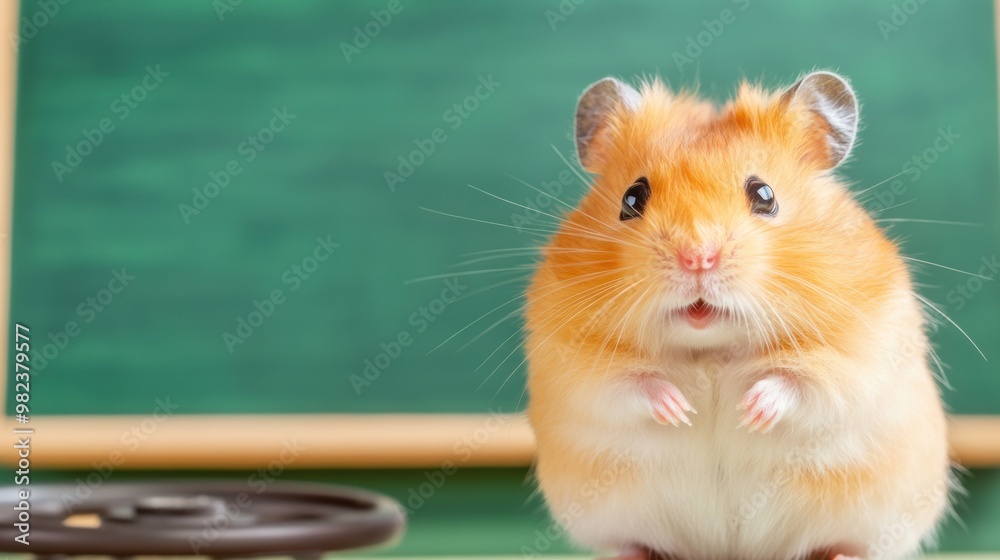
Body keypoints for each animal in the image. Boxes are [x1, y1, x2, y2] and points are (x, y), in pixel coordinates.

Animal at [524, 72, 952, 560]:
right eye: (632, 198)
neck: (712, 348)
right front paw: (679, 409)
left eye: (764, 195)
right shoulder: (569, 359)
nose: (697, 258)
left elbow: (806, 382)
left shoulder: (862, 348)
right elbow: (624, 385)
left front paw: (751, 410)